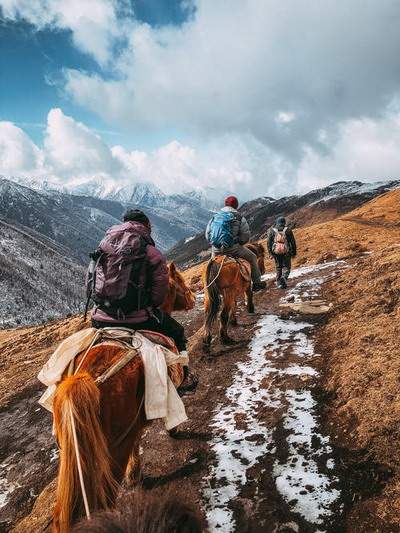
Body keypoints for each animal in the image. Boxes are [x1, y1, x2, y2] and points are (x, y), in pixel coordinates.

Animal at [50, 264, 195, 528]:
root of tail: (84, 380)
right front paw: (174, 429)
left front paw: (134, 474)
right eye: (178, 282)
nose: (192, 299)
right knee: (104, 498)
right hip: (114, 448)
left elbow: (137, 442)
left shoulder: (134, 426)